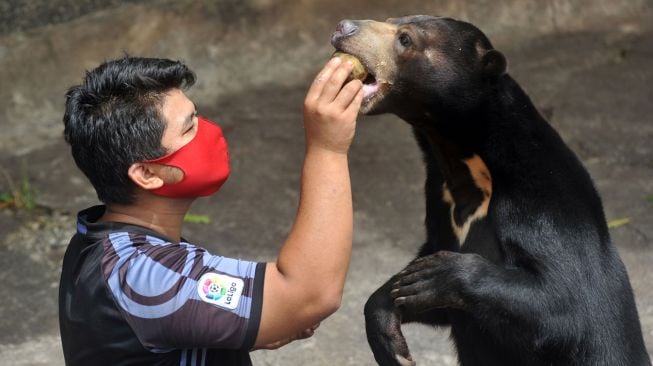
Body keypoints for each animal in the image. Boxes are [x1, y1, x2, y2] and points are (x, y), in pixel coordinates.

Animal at [334, 15, 648, 366]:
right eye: (391, 19)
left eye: (405, 39)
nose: (343, 27)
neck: (462, 161)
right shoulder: (438, 199)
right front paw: (392, 336)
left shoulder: (542, 204)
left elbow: (562, 303)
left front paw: (434, 274)